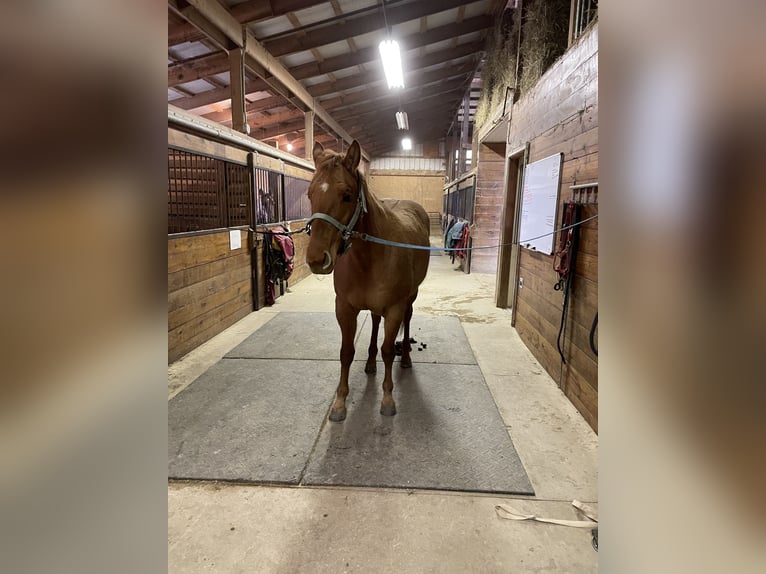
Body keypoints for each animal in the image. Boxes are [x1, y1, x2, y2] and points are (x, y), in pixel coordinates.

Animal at [305, 140, 430, 421]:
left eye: (347, 195)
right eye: (309, 194)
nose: (317, 260)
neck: (369, 258)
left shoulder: (394, 309)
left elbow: (388, 350)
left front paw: (387, 399)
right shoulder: (344, 308)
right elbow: (346, 352)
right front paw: (340, 403)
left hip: (410, 297)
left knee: (407, 319)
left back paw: (405, 359)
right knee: (374, 322)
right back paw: (371, 364)